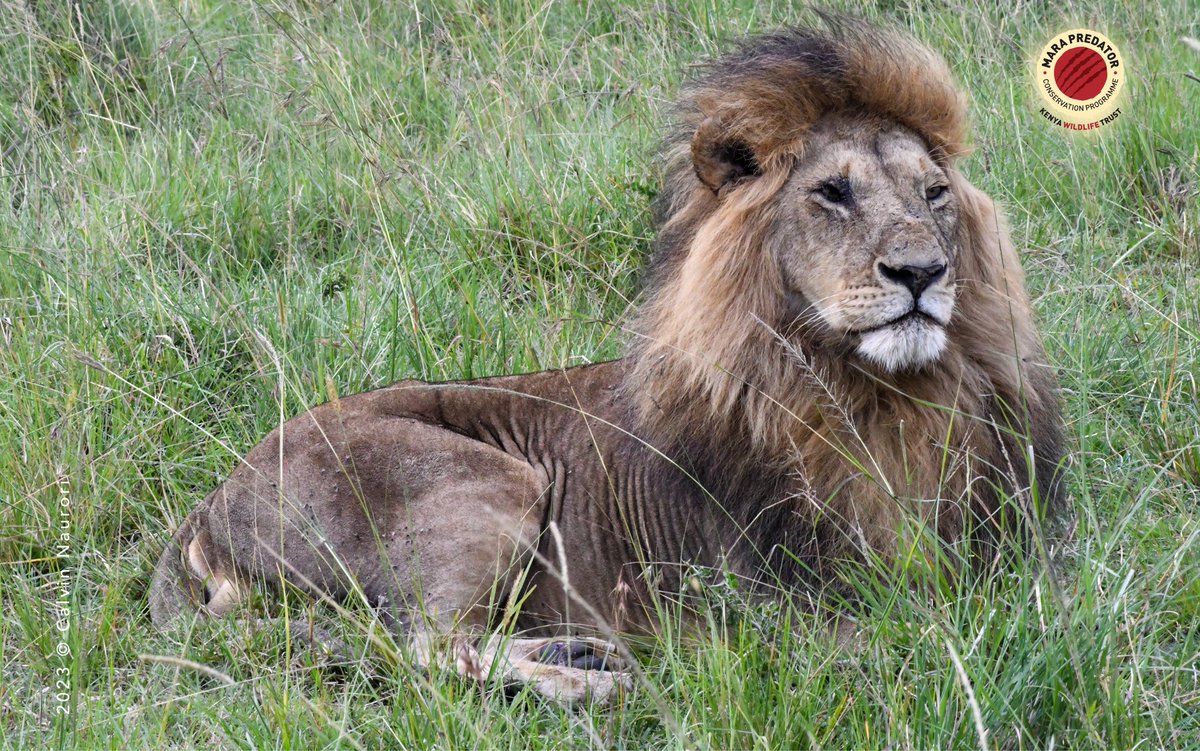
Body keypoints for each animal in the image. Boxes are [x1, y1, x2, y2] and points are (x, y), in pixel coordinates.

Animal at [149, 17, 1064, 703]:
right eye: (831, 194)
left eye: (934, 194)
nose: (922, 271)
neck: (876, 396)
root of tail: (207, 505)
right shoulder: (761, 607)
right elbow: (902, 633)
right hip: (489, 480)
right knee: (425, 644)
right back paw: (589, 681)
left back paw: (574, 654)